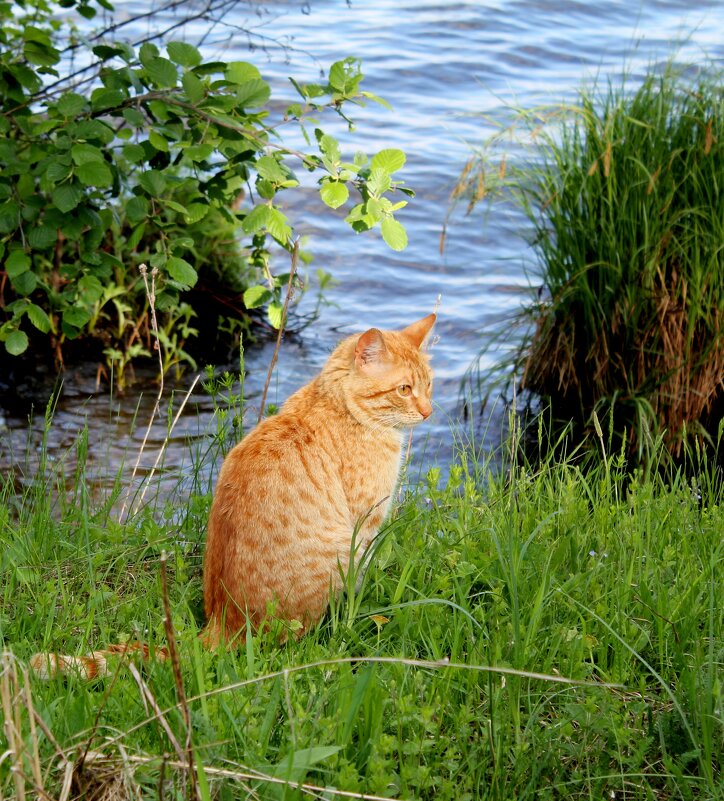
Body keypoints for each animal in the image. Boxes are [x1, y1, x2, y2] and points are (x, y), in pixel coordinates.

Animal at [202, 312, 436, 644]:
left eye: (429, 385)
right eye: (404, 389)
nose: (428, 412)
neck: (340, 407)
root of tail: (222, 621)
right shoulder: (366, 524)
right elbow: (363, 574)